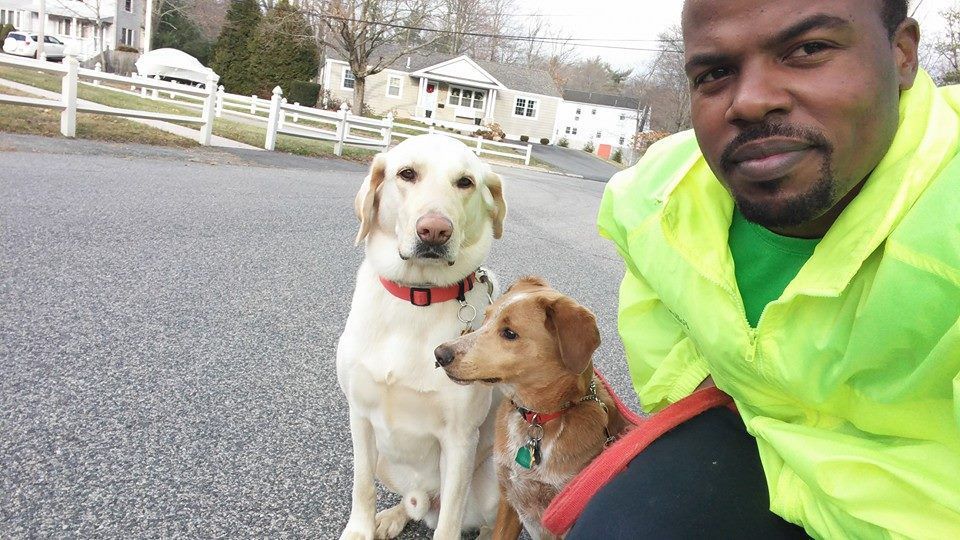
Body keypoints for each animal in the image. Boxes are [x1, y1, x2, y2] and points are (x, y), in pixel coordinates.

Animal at [334, 135, 506, 540]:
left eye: (465, 182)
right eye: (406, 174)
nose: (434, 230)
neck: (418, 296)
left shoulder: (460, 439)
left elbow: (449, 522)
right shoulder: (359, 415)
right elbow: (361, 486)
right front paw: (361, 528)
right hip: (387, 461)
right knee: (414, 504)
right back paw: (392, 516)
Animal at [434, 276, 628, 536]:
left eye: (509, 333)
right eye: (486, 317)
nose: (439, 354)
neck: (536, 419)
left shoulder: (561, 513)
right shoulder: (509, 498)